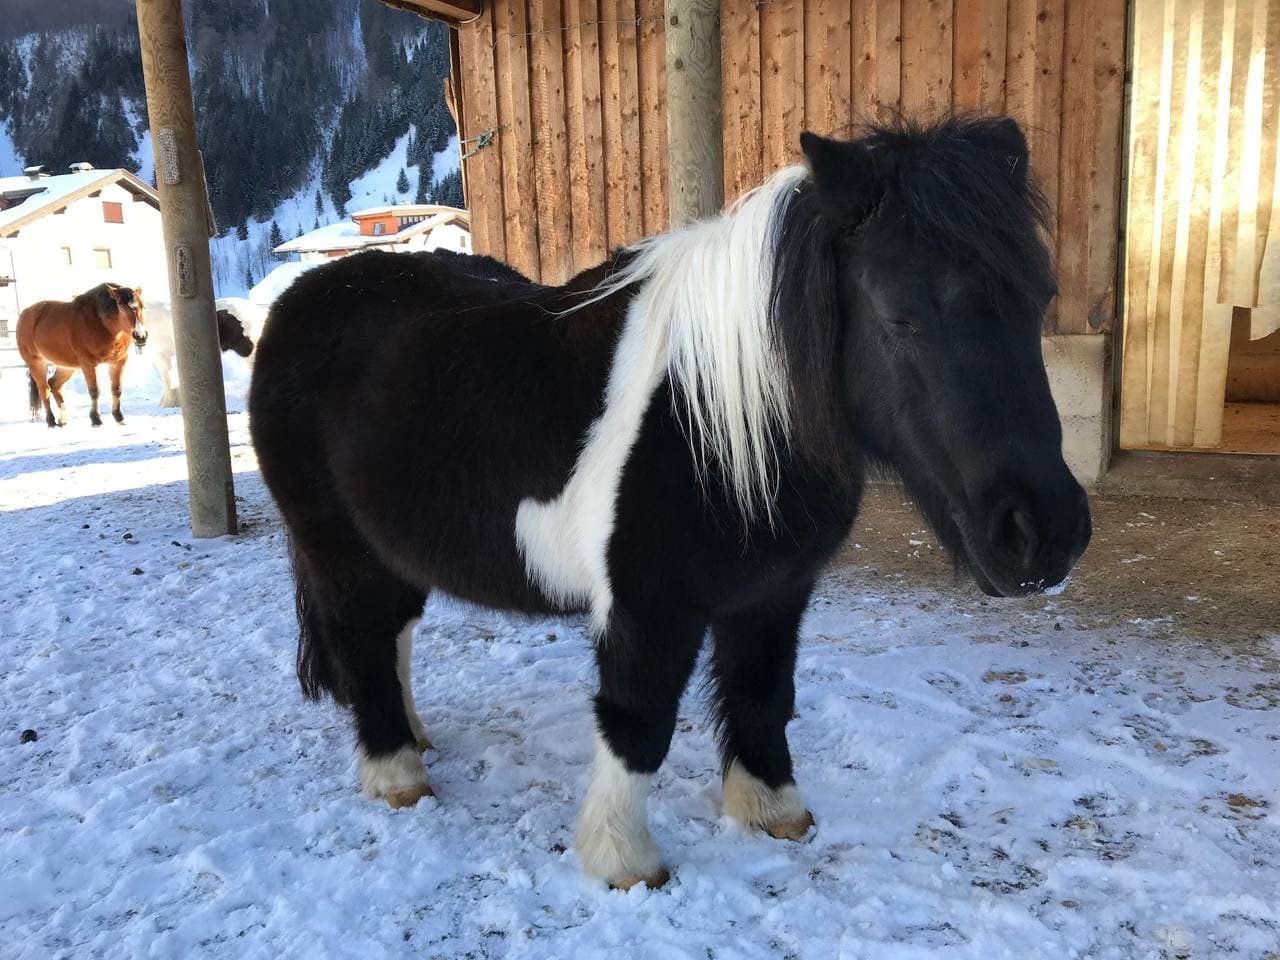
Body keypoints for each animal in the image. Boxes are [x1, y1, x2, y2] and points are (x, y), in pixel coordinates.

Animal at [18, 283, 147, 428]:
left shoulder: (118, 362)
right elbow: (94, 392)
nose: (140, 336)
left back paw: (62, 419)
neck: (101, 322)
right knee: (44, 389)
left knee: (54, 384)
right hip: (37, 363)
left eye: (143, 306)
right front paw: (95, 419)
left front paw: (119, 417)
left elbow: (117, 389)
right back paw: (50, 421)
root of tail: (24, 314)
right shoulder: (88, 364)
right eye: (122, 307)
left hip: (67, 367)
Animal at [248, 116, 1092, 890]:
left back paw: (416, 738)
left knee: (391, 637)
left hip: (390, 551)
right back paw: (396, 773)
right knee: (362, 641)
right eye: (896, 314)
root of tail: (303, 301)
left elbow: (762, 694)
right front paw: (624, 859)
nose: (1044, 533)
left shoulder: (775, 594)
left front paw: (774, 811)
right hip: (338, 548)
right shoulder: (648, 609)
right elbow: (639, 722)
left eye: (1041, 297)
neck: (711, 419)